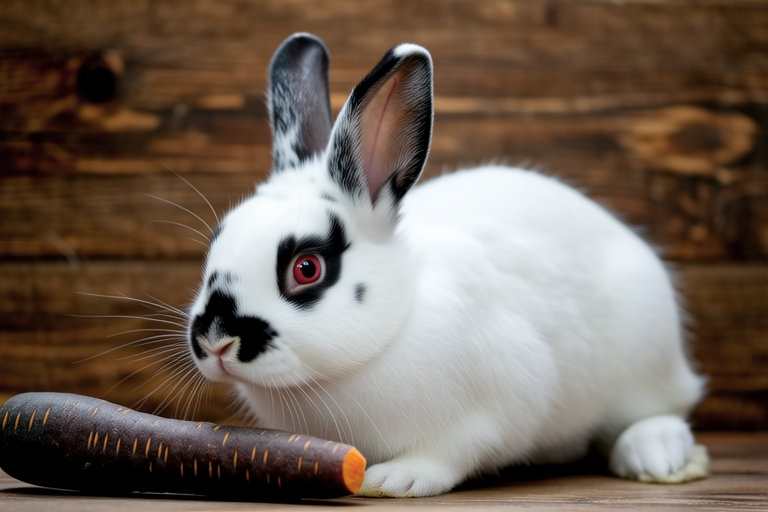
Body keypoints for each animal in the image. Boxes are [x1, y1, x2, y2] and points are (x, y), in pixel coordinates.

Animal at [187, 33, 709, 497]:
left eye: (306, 269)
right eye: (217, 241)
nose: (216, 341)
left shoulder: (500, 404)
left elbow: (454, 452)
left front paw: (396, 479)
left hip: (644, 356)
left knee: (659, 409)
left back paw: (655, 454)